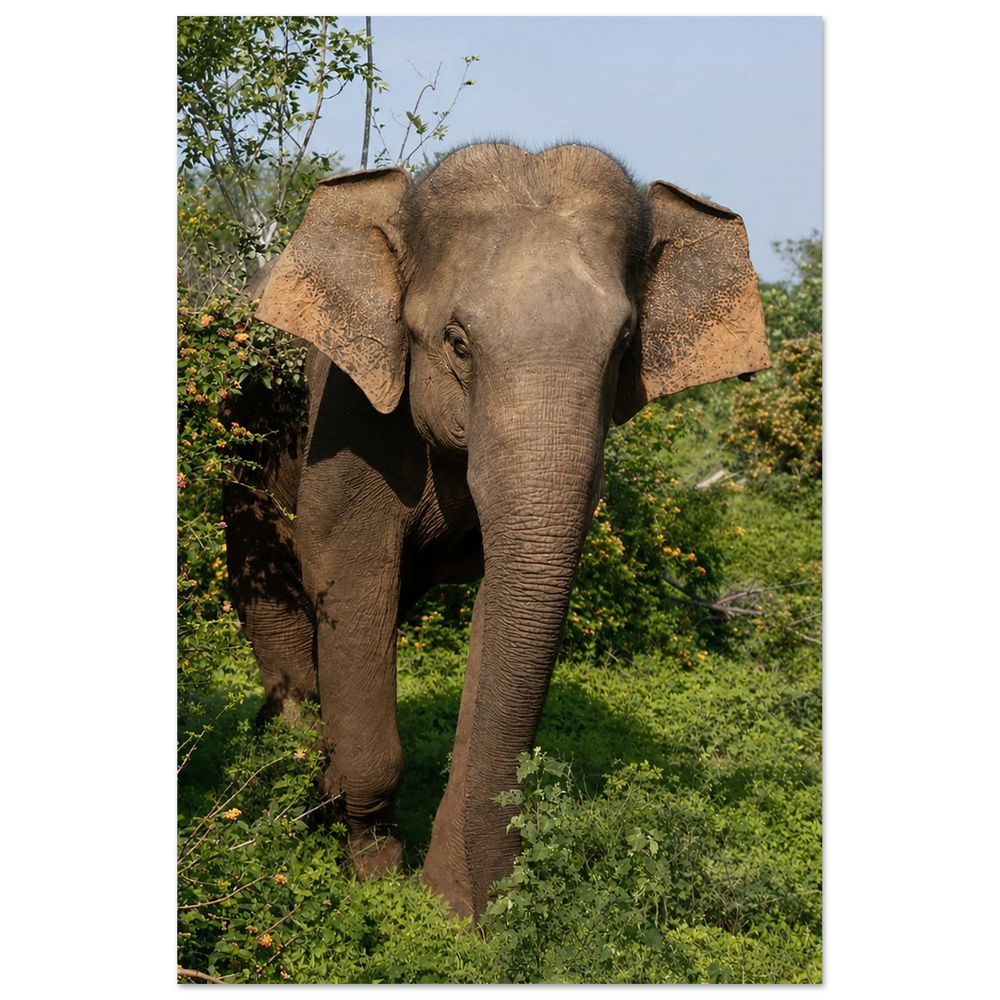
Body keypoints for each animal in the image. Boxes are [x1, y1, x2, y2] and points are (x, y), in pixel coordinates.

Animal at [223, 141, 770, 920]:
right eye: (457, 342)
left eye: (623, 346)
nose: (489, 912)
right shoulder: (347, 413)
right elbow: (346, 571)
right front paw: (374, 875)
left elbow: (500, 604)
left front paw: (447, 906)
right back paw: (290, 762)